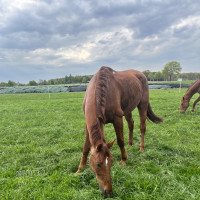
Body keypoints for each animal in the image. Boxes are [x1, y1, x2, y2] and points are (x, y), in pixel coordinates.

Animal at [76, 66, 162, 196]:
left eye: (111, 162)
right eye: (98, 164)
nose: (108, 192)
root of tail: (141, 74)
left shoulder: (117, 119)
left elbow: (120, 140)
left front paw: (124, 160)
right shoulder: (88, 123)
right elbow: (86, 147)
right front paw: (79, 169)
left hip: (142, 105)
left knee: (142, 127)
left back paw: (141, 148)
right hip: (128, 110)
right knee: (131, 124)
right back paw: (130, 144)